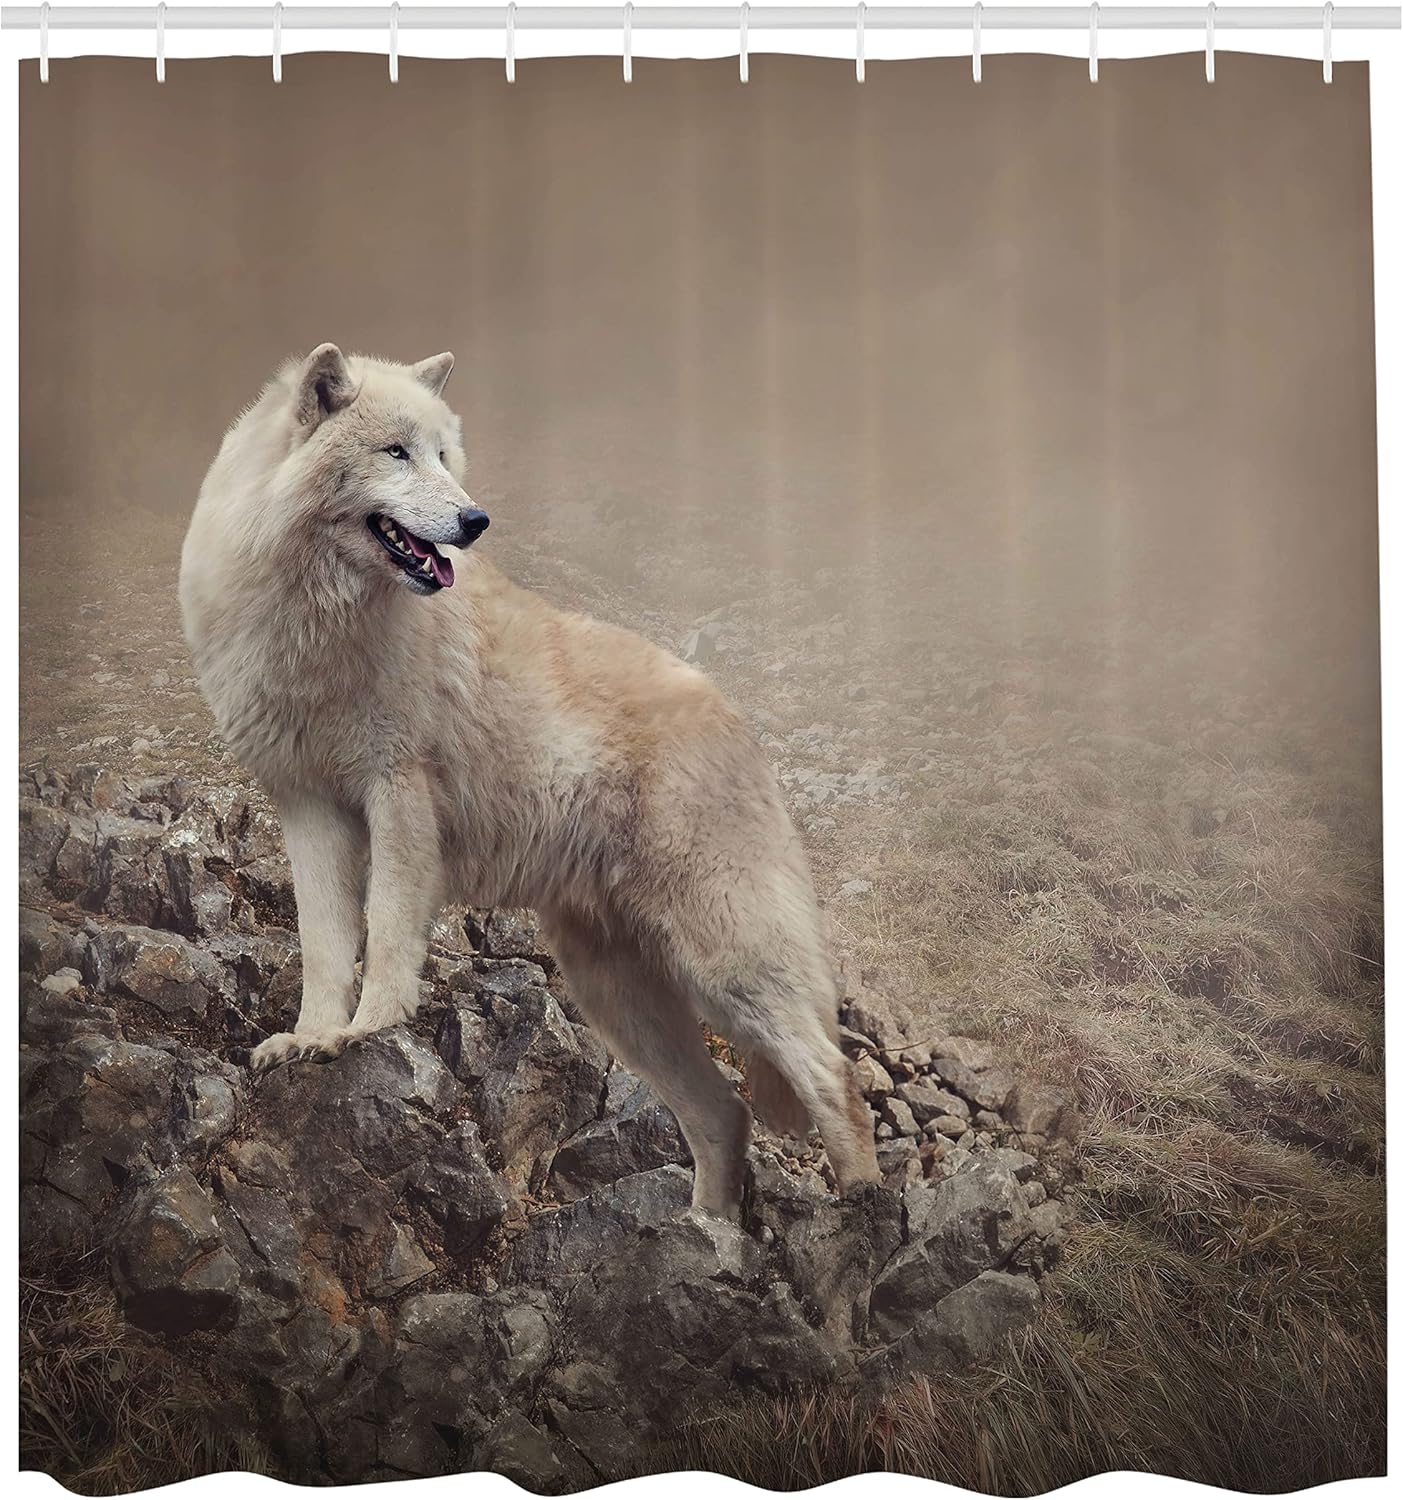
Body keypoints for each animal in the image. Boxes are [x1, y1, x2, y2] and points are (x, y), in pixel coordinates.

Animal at [179, 344, 879, 1218]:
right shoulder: (308, 809)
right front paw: (310, 1040)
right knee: (726, 1114)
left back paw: (862, 1212)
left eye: (446, 455)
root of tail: (739, 721)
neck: (316, 621)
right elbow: (325, 944)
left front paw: (368, 1031)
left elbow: (386, 934)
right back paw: (707, 1233)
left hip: (724, 963)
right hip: (618, 995)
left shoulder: (397, 792)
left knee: (835, 1077)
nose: (475, 522)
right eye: (395, 452)